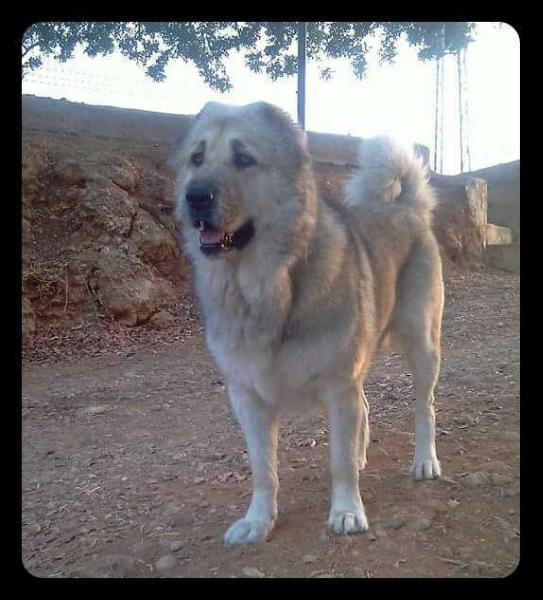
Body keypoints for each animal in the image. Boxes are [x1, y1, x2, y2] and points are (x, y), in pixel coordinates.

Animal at [171, 102, 446, 544]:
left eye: (243, 158)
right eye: (197, 158)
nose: (194, 196)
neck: (267, 287)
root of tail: (405, 207)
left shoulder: (338, 385)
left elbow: (339, 461)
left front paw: (347, 510)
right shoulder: (248, 397)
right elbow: (263, 470)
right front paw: (258, 520)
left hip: (421, 347)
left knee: (425, 407)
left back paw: (424, 461)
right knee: (365, 407)